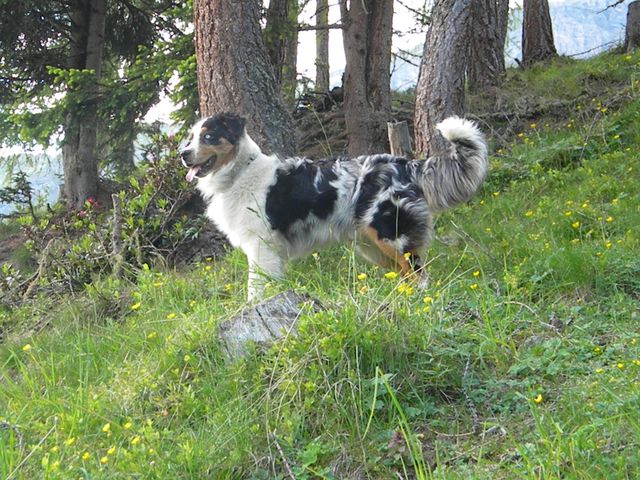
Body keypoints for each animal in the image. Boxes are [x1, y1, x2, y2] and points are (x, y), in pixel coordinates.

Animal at [180, 113, 488, 300]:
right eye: (191, 137)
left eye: (208, 137)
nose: (183, 154)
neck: (239, 172)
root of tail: (404, 163)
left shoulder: (261, 245)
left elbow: (255, 286)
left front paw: (252, 306)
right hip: (371, 246)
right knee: (405, 274)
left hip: (391, 234)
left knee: (418, 273)